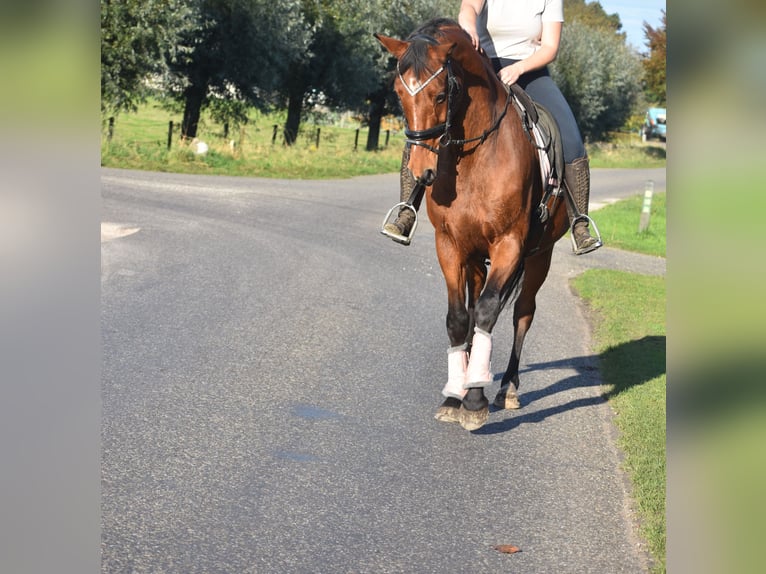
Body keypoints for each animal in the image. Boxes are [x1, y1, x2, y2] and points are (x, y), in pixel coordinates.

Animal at [376, 19, 568, 432]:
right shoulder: (449, 244)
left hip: (538, 257)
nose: (422, 172)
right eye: (399, 94)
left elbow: (486, 312)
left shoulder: (509, 244)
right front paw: (454, 395)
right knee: (475, 302)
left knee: (521, 313)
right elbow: (458, 317)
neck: (476, 155)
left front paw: (475, 399)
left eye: (440, 95)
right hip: (477, 258)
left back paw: (507, 388)